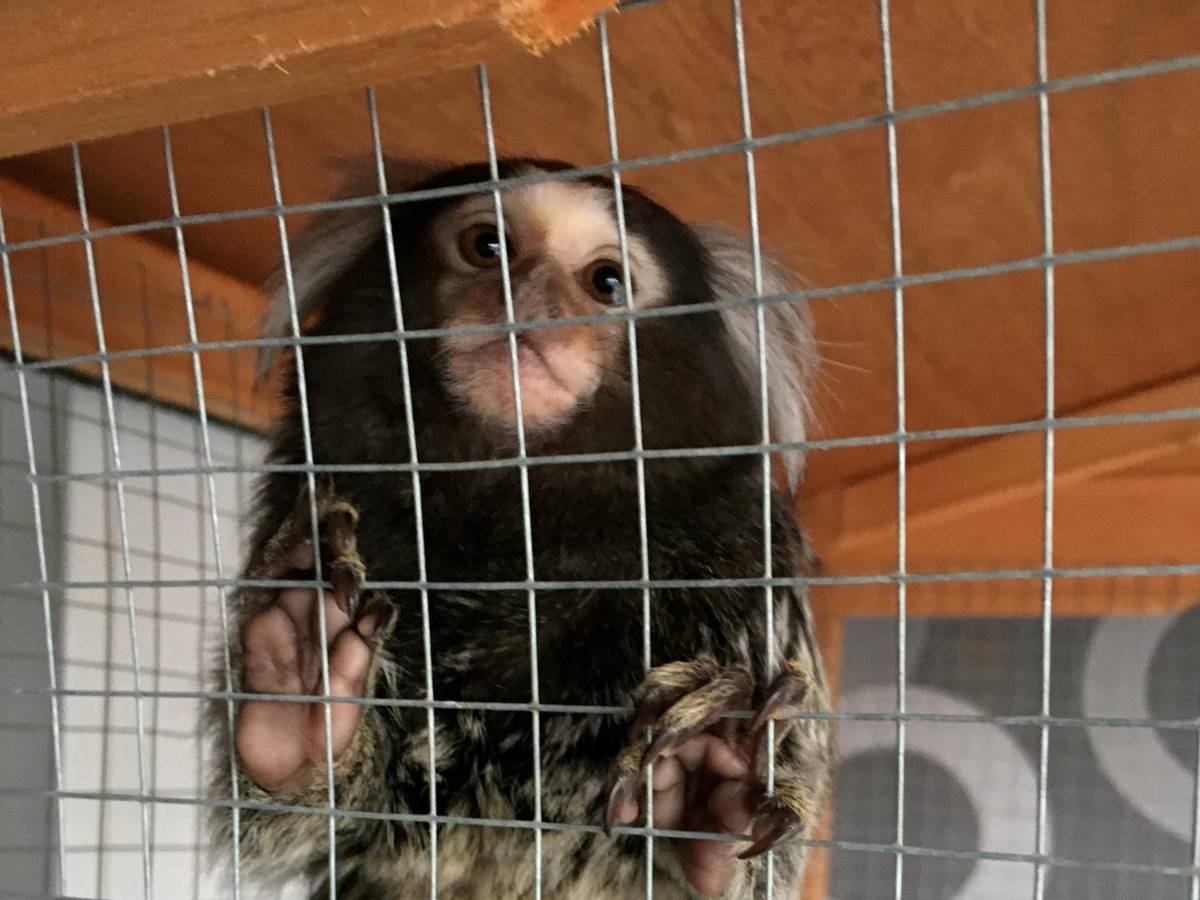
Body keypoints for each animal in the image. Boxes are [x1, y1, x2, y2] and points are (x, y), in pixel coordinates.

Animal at [208, 158, 832, 899]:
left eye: (607, 282)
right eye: (488, 246)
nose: (528, 297)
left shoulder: (748, 565)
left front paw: (718, 777)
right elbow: (331, 822)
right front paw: (300, 694)